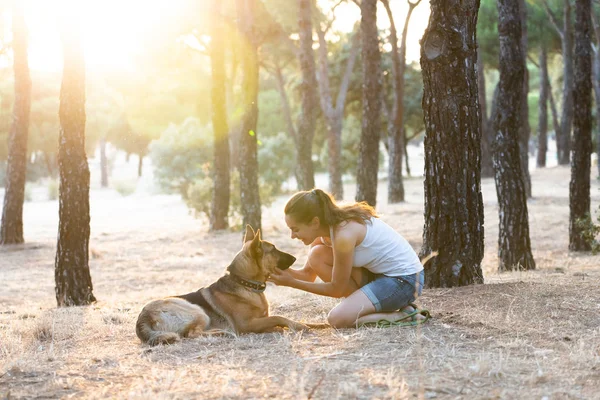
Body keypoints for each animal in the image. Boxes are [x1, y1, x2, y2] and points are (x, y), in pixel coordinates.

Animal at [136, 223, 312, 346]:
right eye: (274, 249)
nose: (295, 258)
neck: (245, 284)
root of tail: (143, 318)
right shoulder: (245, 325)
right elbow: (279, 317)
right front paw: (298, 325)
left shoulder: (260, 319)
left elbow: (274, 320)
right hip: (196, 310)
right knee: (192, 334)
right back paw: (220, 333)